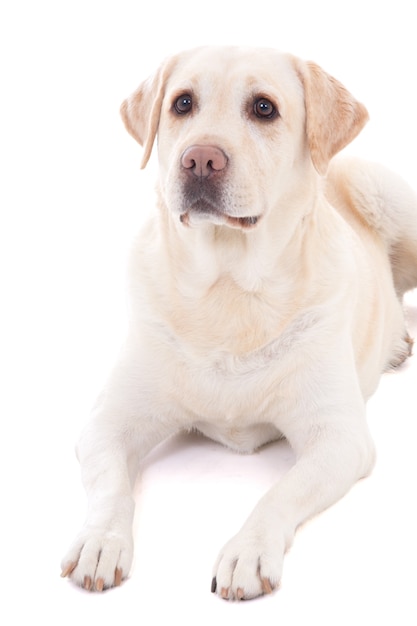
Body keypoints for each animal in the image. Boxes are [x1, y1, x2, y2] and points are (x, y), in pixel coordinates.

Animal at [61, 46, 416, 596]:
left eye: (264, 108)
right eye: (182, 103)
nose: (200, 159)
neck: (229, 291)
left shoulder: (339, 437)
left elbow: (280, 492)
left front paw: (247, 551)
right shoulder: (106, 422)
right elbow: (111, 487)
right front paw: (102, 541)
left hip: (384, 190)